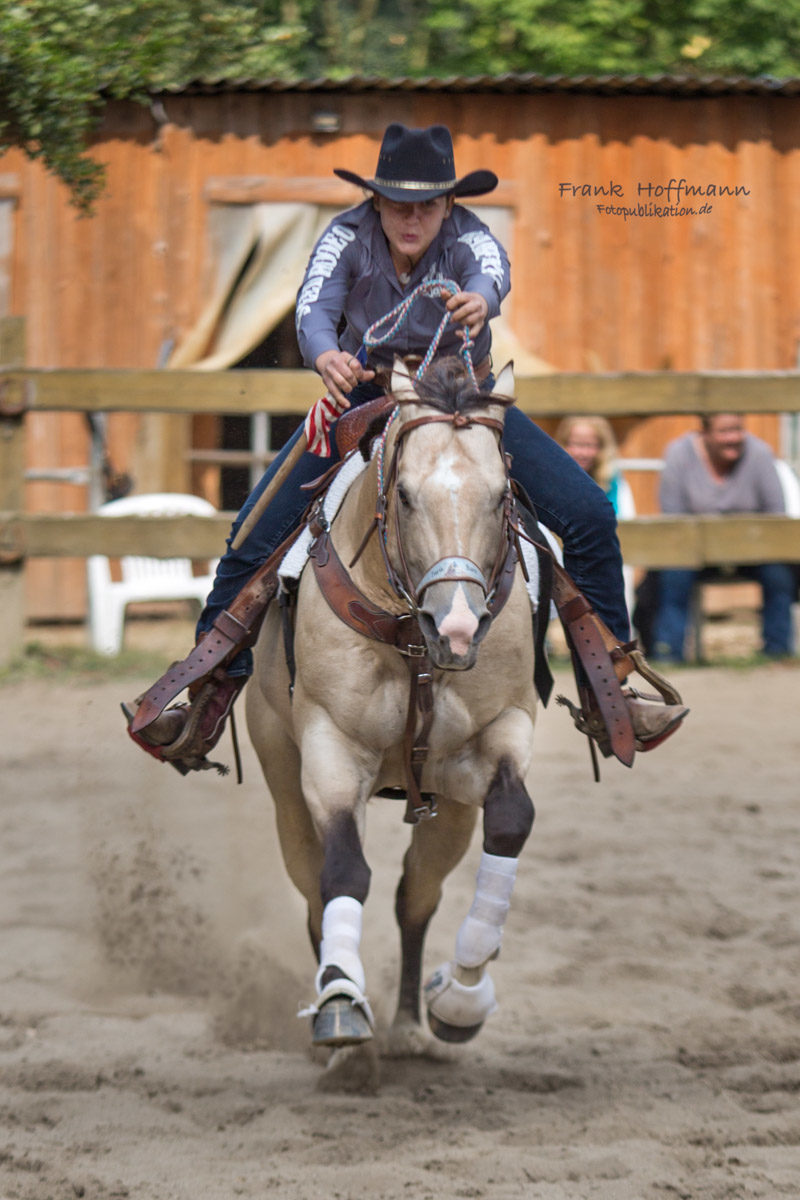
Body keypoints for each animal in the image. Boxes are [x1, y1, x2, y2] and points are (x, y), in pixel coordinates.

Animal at [247, 355, 542, 1070]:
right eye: (404, 494)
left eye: (502, 495)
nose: (457, 628)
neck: (412, 640)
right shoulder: (329, 750)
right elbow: (344, 871)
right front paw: (340, 1005)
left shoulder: (499, 735)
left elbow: (510, 822)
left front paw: (460, 997)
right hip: (280, 776)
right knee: (314, 890)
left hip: (448, 806)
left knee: (417, 895)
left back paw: (410, 1022)